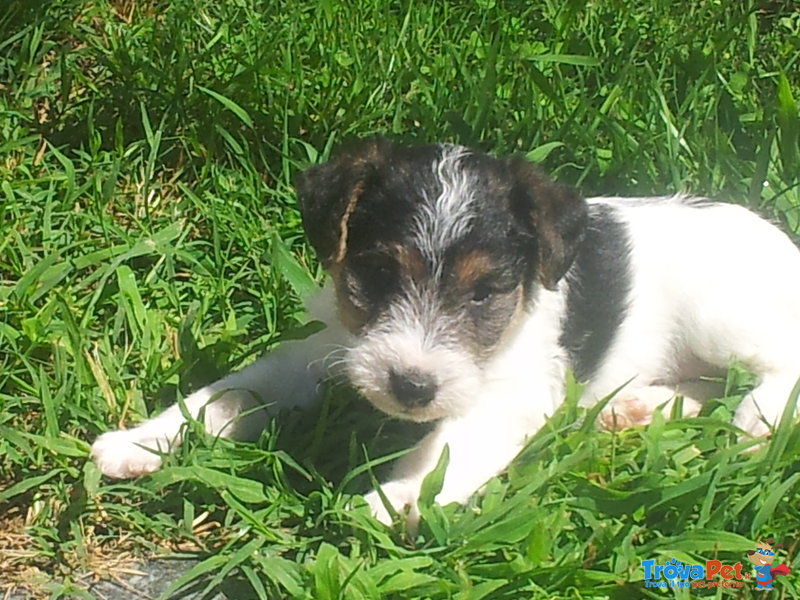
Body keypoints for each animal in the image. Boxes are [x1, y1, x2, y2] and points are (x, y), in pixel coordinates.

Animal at [89, 136, 800, 524]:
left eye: (485, 292)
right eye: (378, 272)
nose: (411, 387)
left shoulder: (511, 391)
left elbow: (450, 445)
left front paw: (403, 495)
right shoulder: (322, 352)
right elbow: (224, 394)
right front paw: (141, 441)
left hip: (723, 316)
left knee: (780, 366)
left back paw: (756, 421)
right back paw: (633, 409)